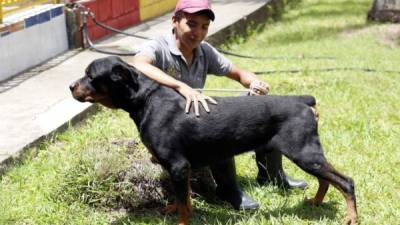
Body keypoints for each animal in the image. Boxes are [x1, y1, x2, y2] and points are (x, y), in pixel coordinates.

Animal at [70, 56, 358, 225]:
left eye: (91, 76)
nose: (71, 86)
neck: (145, 100)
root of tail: (303, 101)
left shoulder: (177, 164)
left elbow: (185, 203)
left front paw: (181, 222)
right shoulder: (177, 167)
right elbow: (183, 198)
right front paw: (172, 209)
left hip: (303, 152)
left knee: (346, 182)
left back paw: (351, 218)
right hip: (307, 153)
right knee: (326, 179)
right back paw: (316, 203)